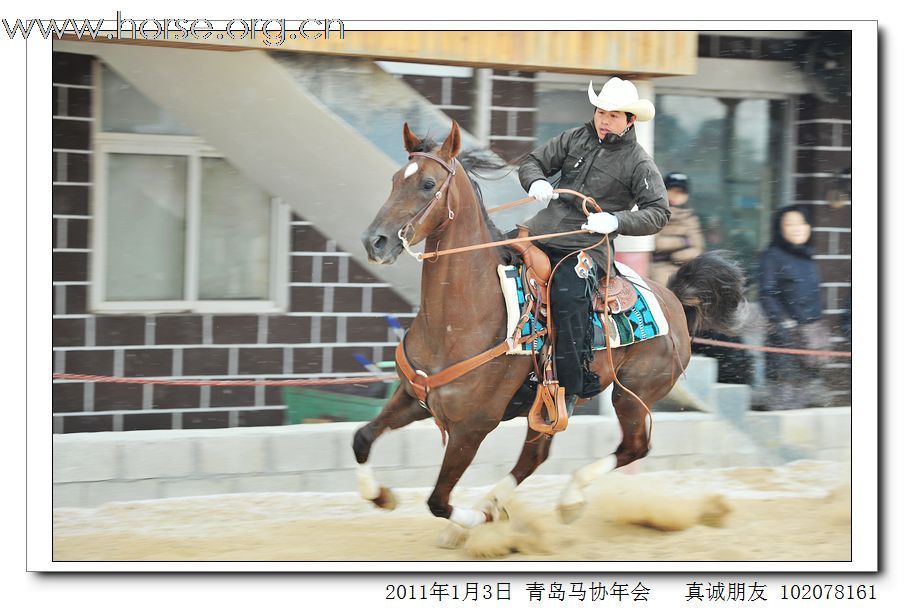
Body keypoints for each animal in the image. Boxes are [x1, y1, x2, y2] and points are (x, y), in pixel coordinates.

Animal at [354, 122, 740, 544]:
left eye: (427, 184)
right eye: (395, 179)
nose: (375, 241)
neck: (460, 319)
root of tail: (673, 300)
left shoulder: (472, 427)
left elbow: (438, 500)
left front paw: (472, 523)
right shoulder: (414, 397)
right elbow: (362, 439)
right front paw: (383, 496)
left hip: (632, 394)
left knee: (634, 446)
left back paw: (561, 501)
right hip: (552, 402)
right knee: (536, 456)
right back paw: (497, 507)